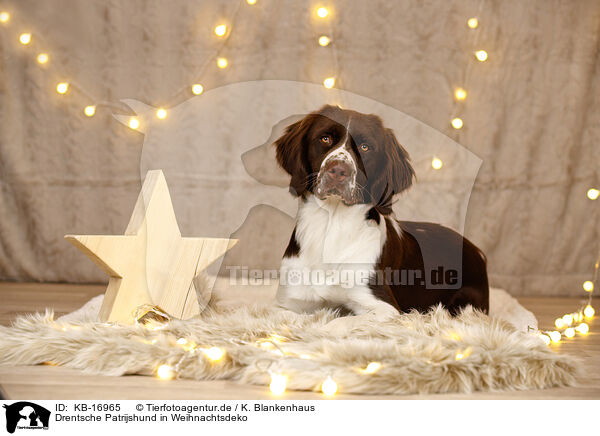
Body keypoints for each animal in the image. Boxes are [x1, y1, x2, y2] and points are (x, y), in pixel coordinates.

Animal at [274, 104, 490, 322]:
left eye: (365, 147)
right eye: (325, 138)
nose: (338, 171)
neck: (331, 227)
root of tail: (477, 251)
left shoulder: (384, 307)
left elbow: (338, 322)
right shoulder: (286, 304)